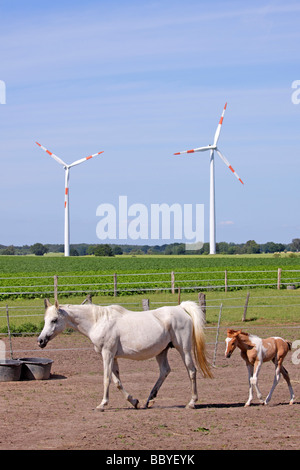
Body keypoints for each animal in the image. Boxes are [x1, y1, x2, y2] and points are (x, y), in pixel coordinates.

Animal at [38, 300, 211, 410]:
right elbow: (117, 381)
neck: (98, 321)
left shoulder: (107, 354)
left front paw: (102, 404)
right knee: (165, 371)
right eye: (46, 319)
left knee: (192, 371)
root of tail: (180, 308)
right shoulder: (112, 357)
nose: (40, 341)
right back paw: (148, 400)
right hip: (162, 351)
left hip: (184, 349)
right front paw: (134, 401)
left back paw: (191, 403)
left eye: (54, 320)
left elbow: (106, 379)